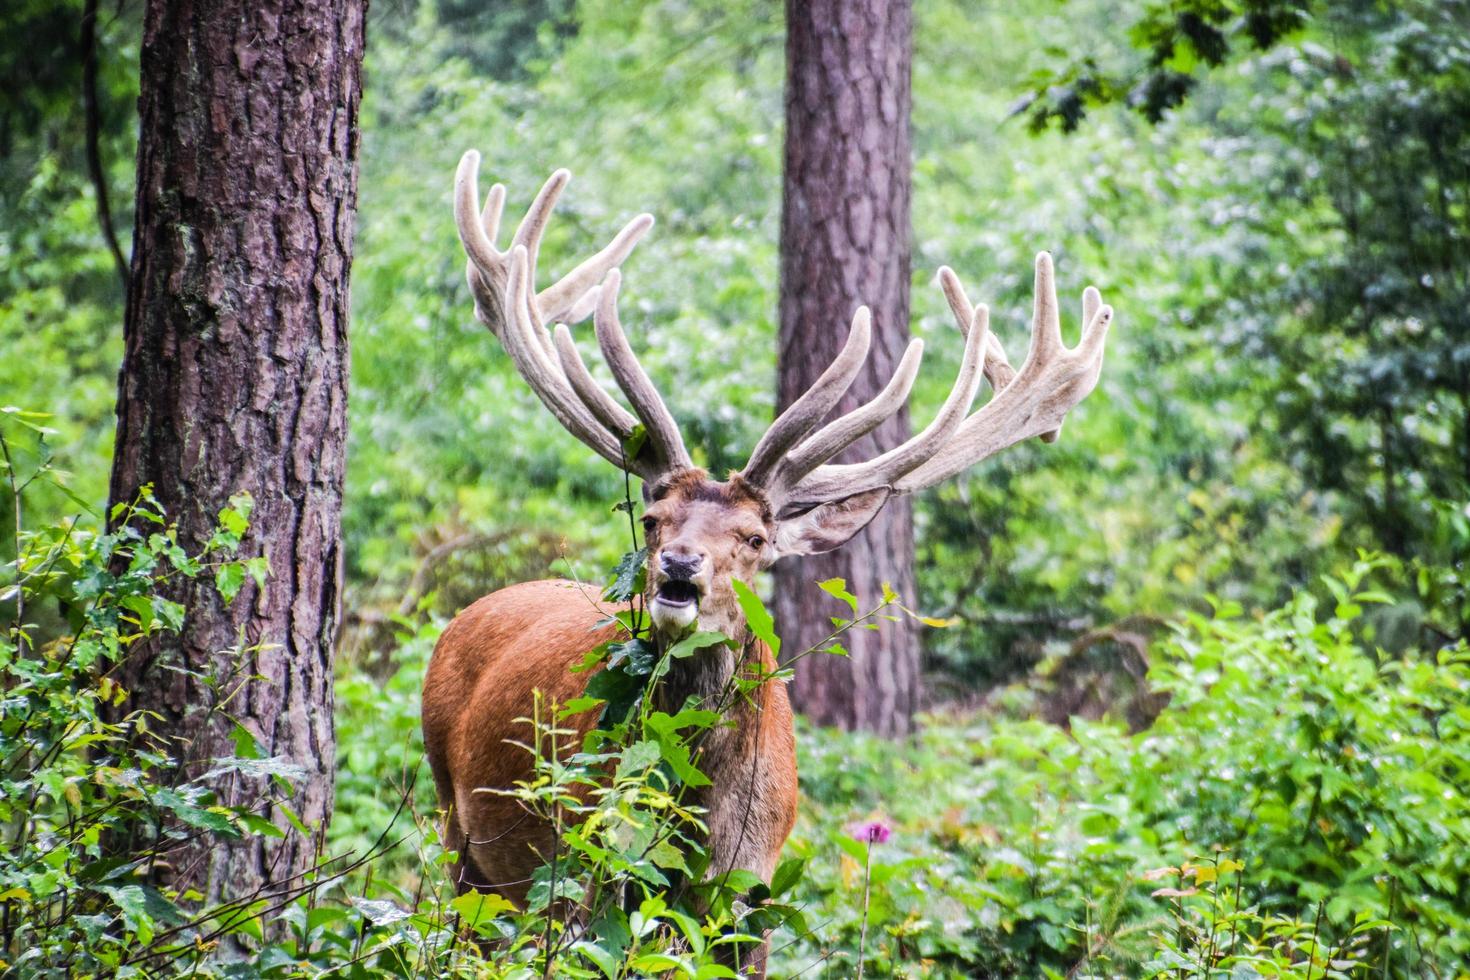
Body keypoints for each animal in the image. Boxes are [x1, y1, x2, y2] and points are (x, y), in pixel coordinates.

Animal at [417, 149, 1111, 975]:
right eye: (653, 519)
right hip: (460, 829)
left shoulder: (753, 890)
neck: (699, 821)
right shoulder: (586, 866)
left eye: (754, 539)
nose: (679, 568)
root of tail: (464, 617)